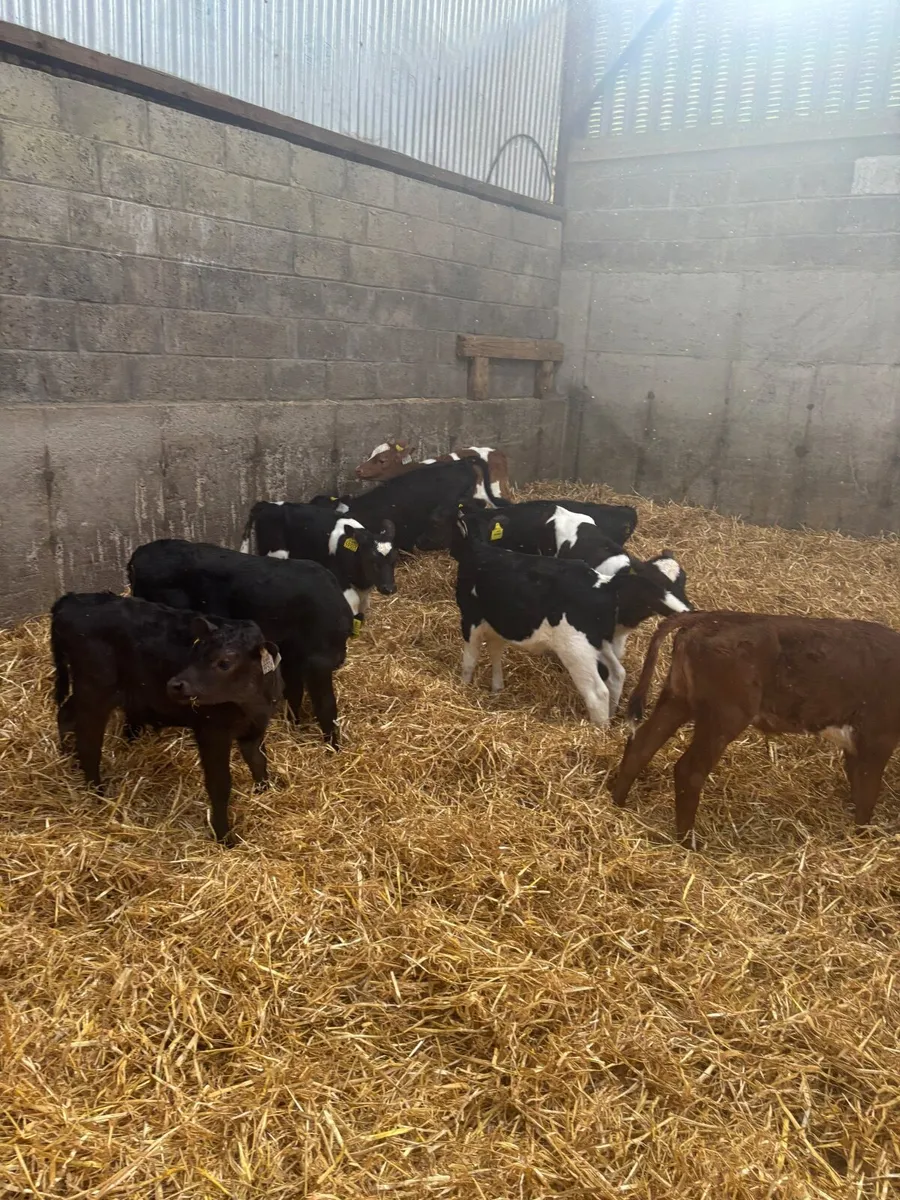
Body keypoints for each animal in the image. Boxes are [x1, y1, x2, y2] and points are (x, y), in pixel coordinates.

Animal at [50, 592, 283, 845]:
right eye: (196, 652)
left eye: (225, 662)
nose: (175, 685)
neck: (252, 702)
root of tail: (71, 600)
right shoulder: (212, 731)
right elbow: (220, 784)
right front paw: (224, 837)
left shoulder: (256, 727)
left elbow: (259, 762)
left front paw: (266, 793)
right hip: (94, 691)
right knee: (88, 743)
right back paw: (97, 793)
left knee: (66, 715)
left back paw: (68, 758)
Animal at [128, 539, 351, 749]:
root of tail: (137, 556)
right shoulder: (317, 662)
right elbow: (325, 705)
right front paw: (333, 747)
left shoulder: (291, 659)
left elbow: (294, 694)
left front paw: (295, 727)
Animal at [239, 500, 397, 619]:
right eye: (371, 560)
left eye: (394, 560)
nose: (389, 588)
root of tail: (266, 504)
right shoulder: (338, 575)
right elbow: (353, 602)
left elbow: (363, 603)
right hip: (276, 553)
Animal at [450, 511, 689, 724]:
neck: (480, 549)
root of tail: (604, 585)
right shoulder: (498, 620)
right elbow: (495, 650)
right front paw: (497, 688)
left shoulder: (470, 618)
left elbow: (469, 660)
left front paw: (463, 688)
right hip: (598, 643)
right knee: (616, 675)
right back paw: (611, 718)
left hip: (576, 649)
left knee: (597, 692)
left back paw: (598, 732)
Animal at [611, 610, 900, 847]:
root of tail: (708, 617)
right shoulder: (878, 740)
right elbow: (867, 794)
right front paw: (863, 839)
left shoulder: (857, 744)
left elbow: (858, 787)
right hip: (724, 716)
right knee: (689, 770)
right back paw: (688, 843)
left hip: (677, 698)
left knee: (642, 744)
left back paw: (618, 803)